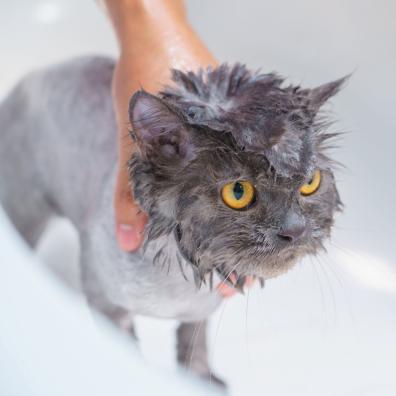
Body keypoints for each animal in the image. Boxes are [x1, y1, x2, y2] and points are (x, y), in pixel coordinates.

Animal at [0, 56, 344, 386]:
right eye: (238, 191)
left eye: (310, 182)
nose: (295, 230)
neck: (180, 285)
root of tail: (39, 72)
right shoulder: (105, 300)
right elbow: (128, 353)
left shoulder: (200, 313)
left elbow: (195, 345)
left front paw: (200, 379)